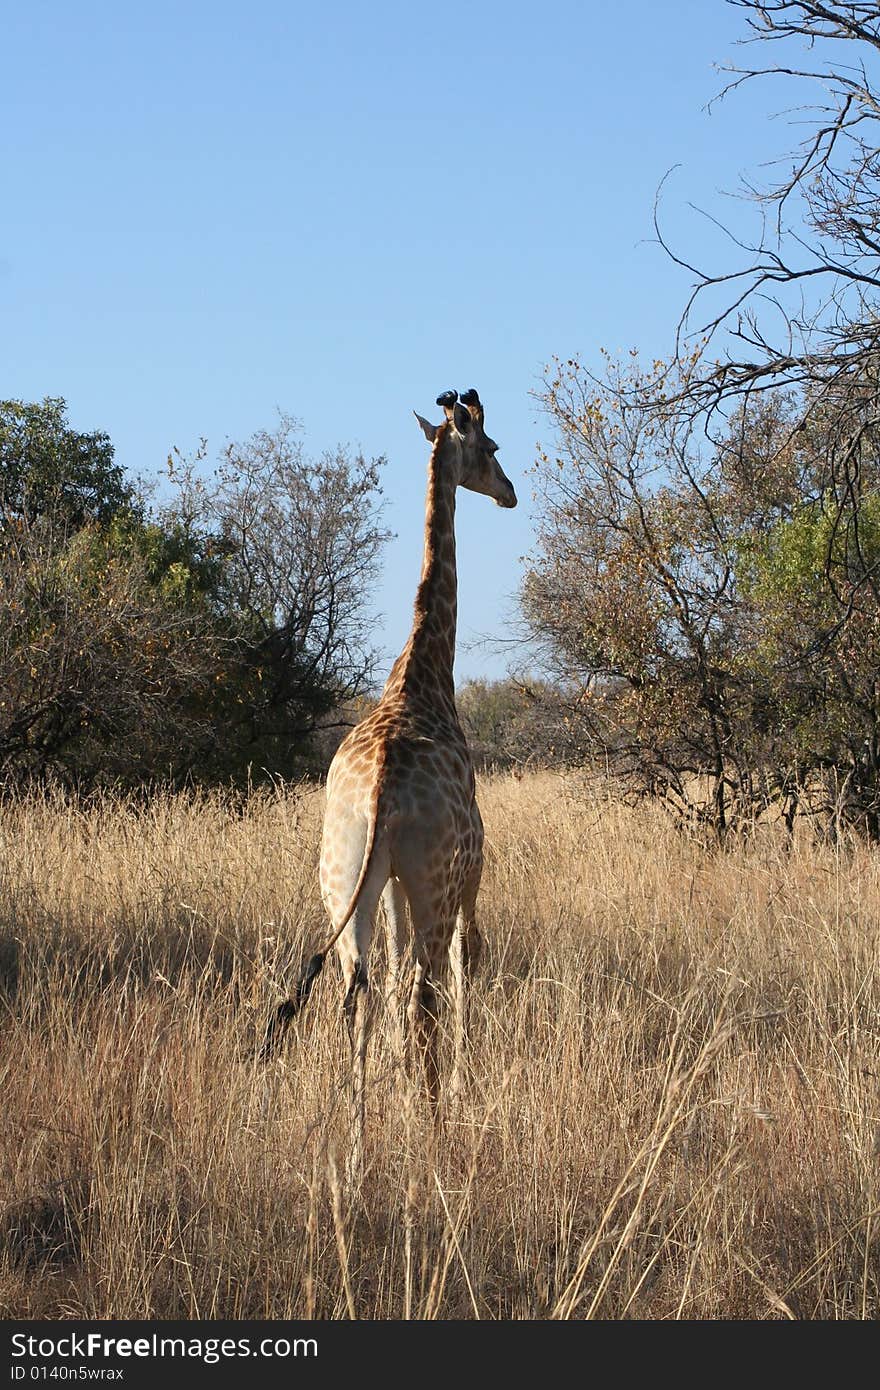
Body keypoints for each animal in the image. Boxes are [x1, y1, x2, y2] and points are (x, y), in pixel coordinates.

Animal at [261, 386, 514, 1167]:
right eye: (491, 447)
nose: (511, 493)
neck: (423, 670)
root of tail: (377, 796)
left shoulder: (392, 883)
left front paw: (405, 1092)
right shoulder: (467, 877)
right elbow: (465, 971)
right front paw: (454, 1093)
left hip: (346, 878)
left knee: (359, 992)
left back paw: (354, 1140)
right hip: (430, 883)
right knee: (423, 990)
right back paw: (431, 1130)